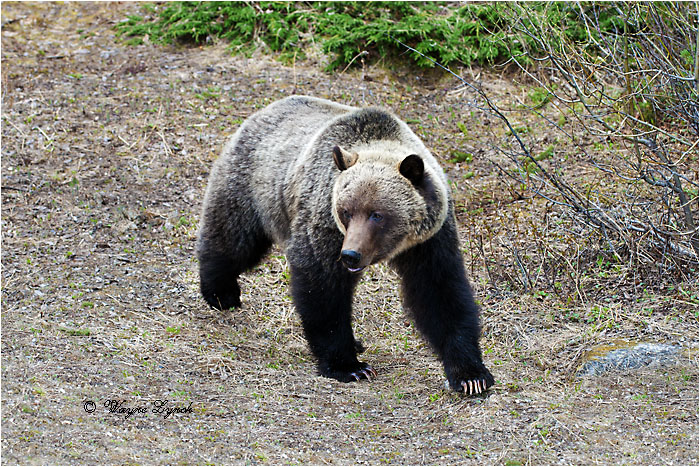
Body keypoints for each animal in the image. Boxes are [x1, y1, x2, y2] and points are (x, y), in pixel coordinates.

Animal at [196, 95, 494, 394]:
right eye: (346, 211)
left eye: (377, 214)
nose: (350, 255)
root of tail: (266, 110)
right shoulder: (325, 226)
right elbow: (323, 288)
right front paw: (349, 366)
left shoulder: (429, 241)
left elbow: (440, 293)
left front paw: (471, 375)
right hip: (253, 186)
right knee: (234, 238)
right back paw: (221, 292)